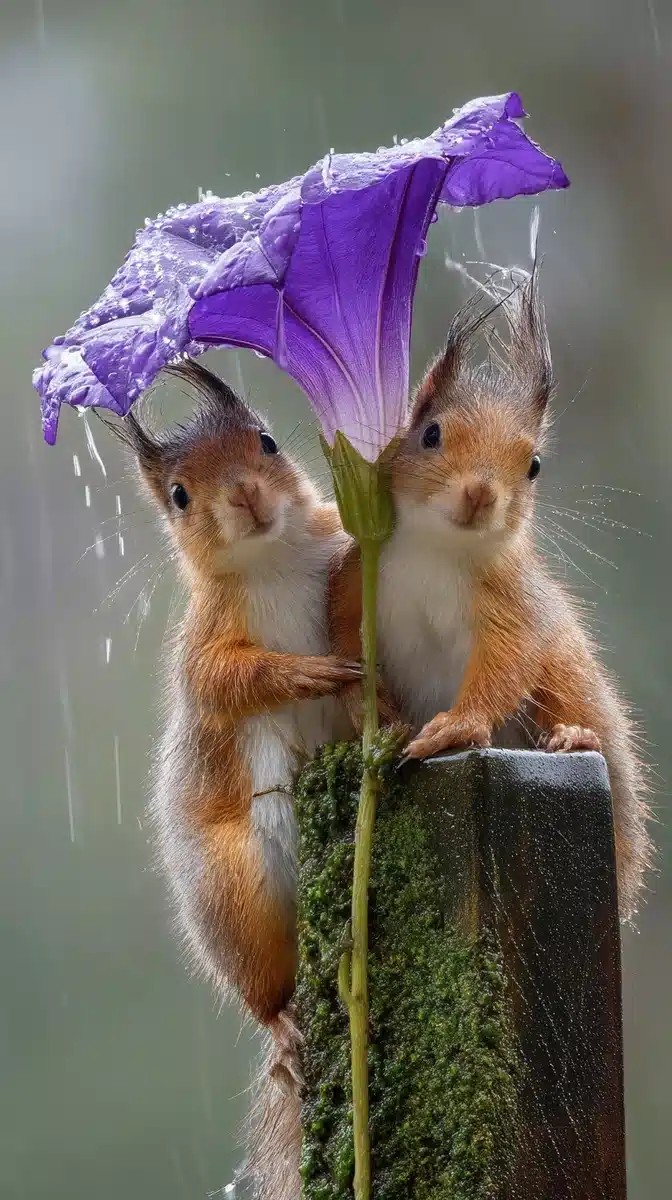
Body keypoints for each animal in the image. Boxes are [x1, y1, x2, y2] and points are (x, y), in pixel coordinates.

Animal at [110, 360, 358, 1060]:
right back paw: (282, 1027)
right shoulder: (204, 643)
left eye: (267, 442)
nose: (244, 494)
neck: (272, 560)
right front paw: (305, 674)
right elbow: (225, 681)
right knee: (261, 989)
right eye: (178, 496)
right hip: (235, 894)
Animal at [330, 273, 652, 920]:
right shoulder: (359, 574)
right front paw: (369, 712)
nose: (480, 493)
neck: (438, 549)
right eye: (430, 434)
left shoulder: (512, 601)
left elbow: (506, 660)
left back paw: (575, 735)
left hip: (568, 673)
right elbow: (341, 637)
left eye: (533, 465)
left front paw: (457, 726)